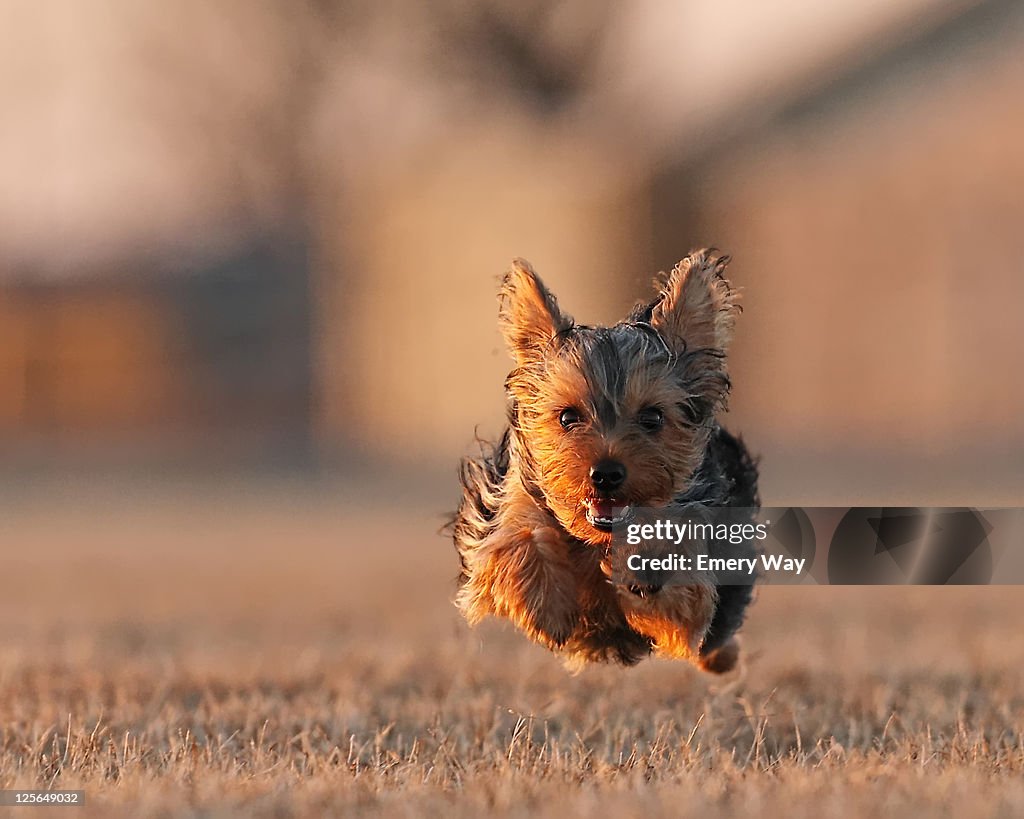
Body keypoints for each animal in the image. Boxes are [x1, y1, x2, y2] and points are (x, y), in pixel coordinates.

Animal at [452, 249, 757, 671]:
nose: (606, 473)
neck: (599, 539)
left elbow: (682, 591)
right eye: (567, 417)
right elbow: (515, 539)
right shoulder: (509, 505)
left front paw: (646, 561)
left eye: (652, 418)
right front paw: (545, 607)